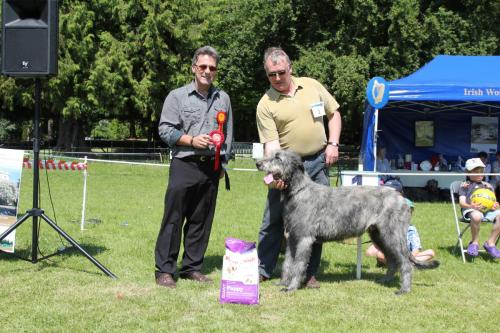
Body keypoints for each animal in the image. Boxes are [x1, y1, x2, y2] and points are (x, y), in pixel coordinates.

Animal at [256, 148, 440, 294]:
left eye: (278, 158)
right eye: (270, 154)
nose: (258, 164)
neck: (299, 191)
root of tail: (402, 198)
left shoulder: (304, 239)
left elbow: (298, 265)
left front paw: (292, 287)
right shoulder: (292, 238)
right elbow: (288, 263)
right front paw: (284, 282)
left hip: (392, 234)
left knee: (406, 263)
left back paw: (404, 289)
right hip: (379, 236)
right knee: (393, 260)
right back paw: (385, 281)